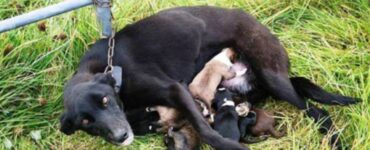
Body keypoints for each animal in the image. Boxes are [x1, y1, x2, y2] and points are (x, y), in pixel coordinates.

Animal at [59, 5, 356, 149]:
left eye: (106, 101)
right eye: (86, 121)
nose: (121, 137)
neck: (110, 71)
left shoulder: (175, 90)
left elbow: (205, 129)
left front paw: (230, 146)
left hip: (273, 76)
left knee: (318, 112)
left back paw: (334, 140)